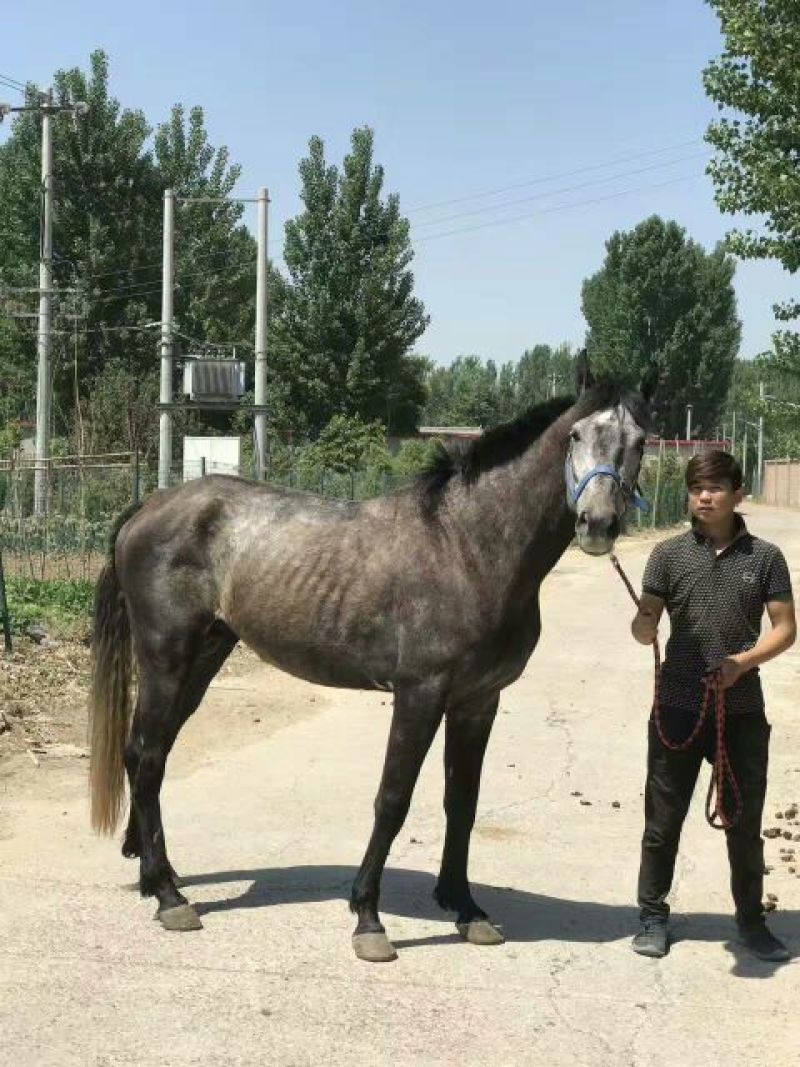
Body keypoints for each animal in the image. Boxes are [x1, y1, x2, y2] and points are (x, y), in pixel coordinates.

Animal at [89, 353, 655, 962]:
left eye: (640, 440)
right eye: (575, 435)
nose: (598, 524)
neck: (468, 546)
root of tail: (149, 506)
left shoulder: (479, 701)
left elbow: (463, 801)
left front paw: (465, 908)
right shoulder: (419, 695)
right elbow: (393, 799)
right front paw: (368, 918)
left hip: (206, 654)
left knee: (152, 754)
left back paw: (156, 878)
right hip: (165, 657)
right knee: (146, 755)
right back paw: (170, 897)